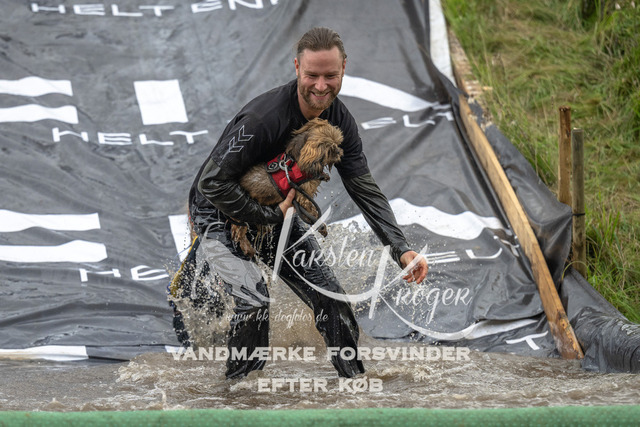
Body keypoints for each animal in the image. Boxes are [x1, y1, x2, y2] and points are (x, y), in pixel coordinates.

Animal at [231, 118, 344, 257]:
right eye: (330, 150)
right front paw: (320, 225)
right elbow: (312, 211)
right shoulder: (302, 197)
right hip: (241, 215)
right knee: (238, 231)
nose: (339, 152)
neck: (295, 162)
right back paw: (248, 249)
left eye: (337, 143)